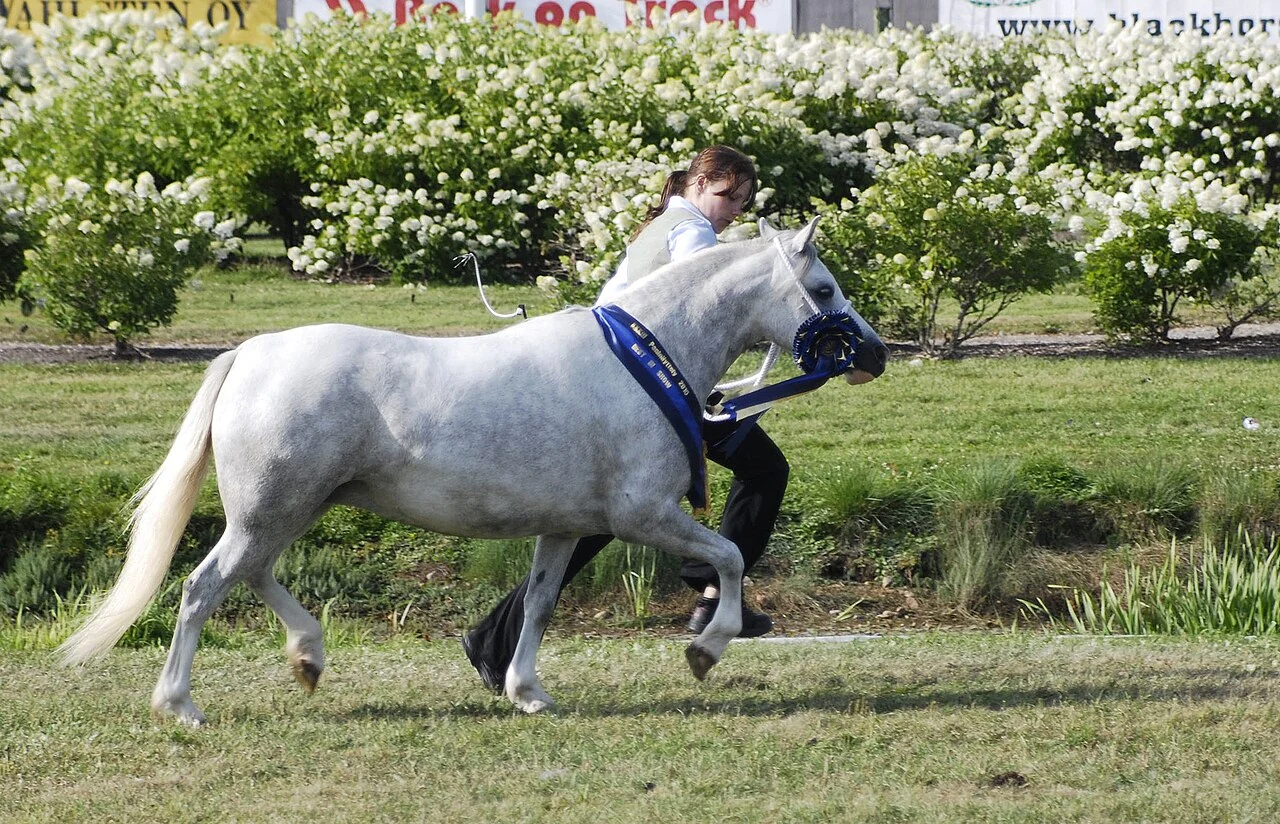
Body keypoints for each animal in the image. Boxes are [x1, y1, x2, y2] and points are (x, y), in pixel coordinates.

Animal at [58, 217, 888, 725]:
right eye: (823, 290)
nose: (876, 353)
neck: (645, 359)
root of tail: (249, 354)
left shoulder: (566, 527)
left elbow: (542, 604)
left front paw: (527, 691)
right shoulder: (643, 514)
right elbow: (730, 556)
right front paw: (706, 649)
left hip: (292, 507)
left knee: (254, 574)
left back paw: (308, 658)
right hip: (274, 507)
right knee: (204, 586)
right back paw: (181, 704)